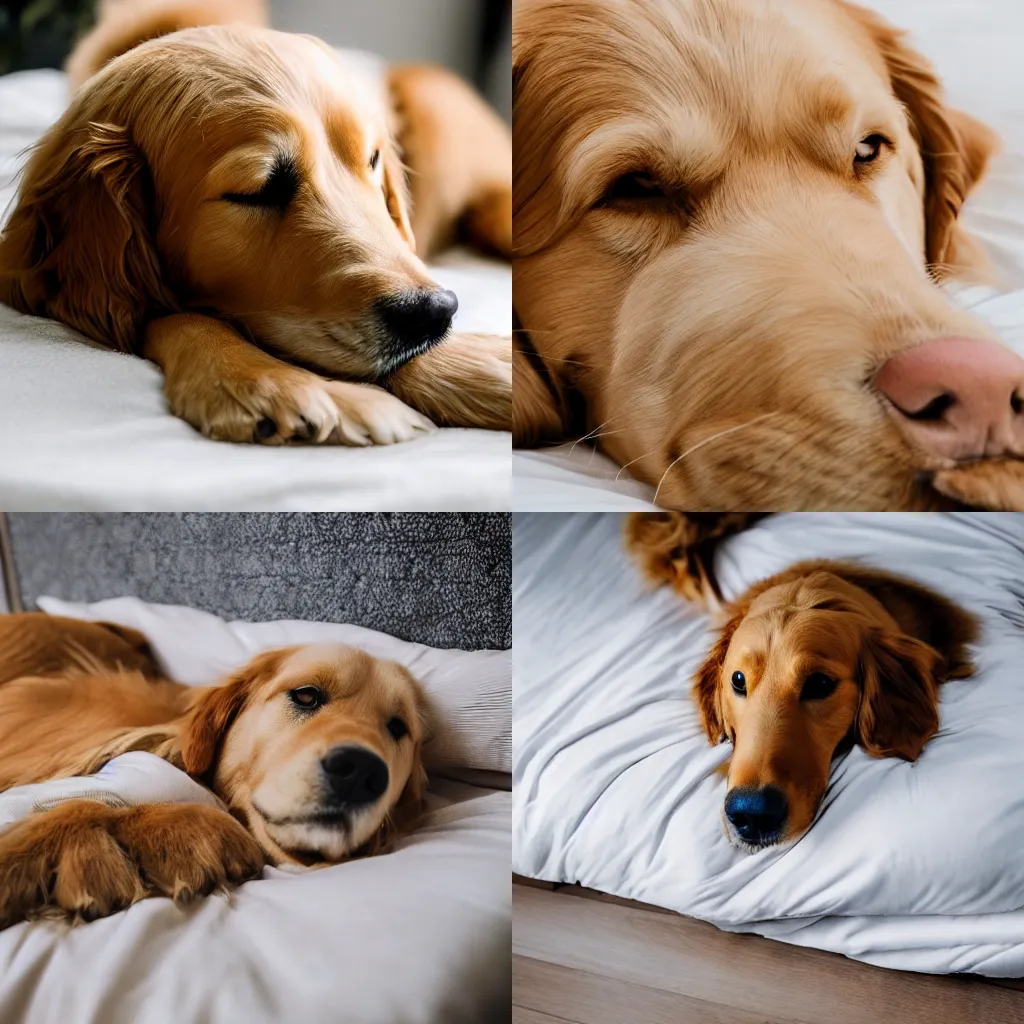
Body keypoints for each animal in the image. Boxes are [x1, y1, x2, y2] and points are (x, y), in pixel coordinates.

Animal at [0, 1, 512, 448]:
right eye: (259, 190)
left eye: (372, 160)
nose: (433, 312)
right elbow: (178, 315)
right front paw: (274, 382)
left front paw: (484, 363)